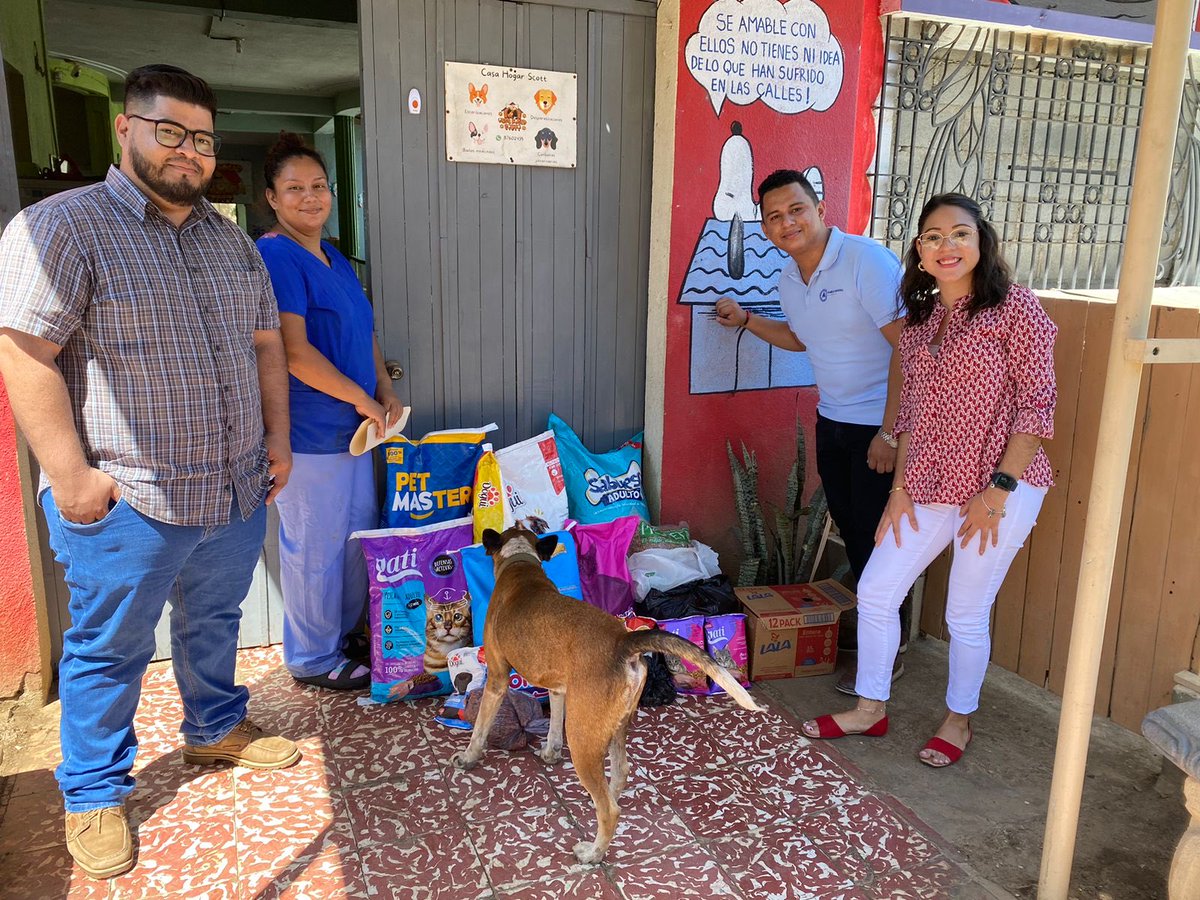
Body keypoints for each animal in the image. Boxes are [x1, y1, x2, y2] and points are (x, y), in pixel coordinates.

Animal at [451, 528, 758, 868]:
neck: (520, 566)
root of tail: (623, 641)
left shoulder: (496, 678)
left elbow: (481, 727)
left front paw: (469, 756)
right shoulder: (558, 686)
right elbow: (554, 725)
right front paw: (550, 752)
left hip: (582, 736)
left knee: (609, 810)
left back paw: (594, 852)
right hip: (614, 723)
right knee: (619, 773)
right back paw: (604, 798)